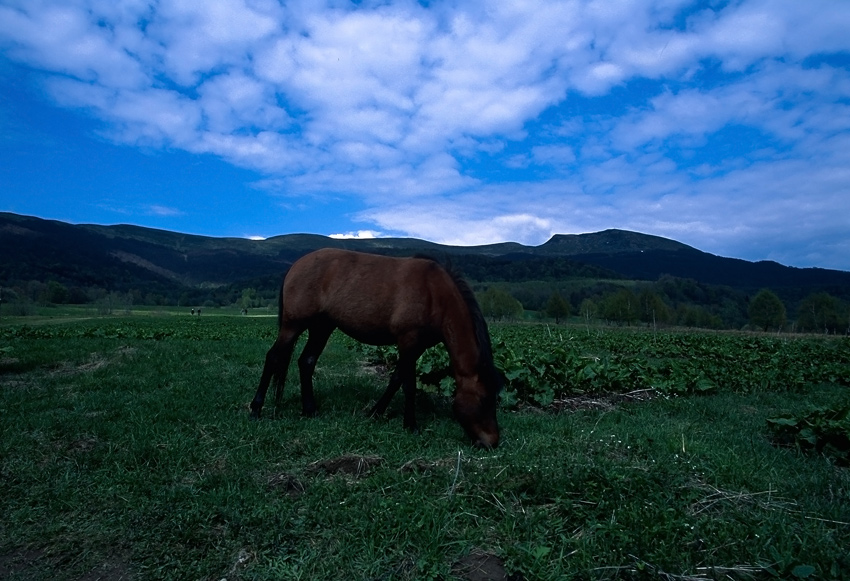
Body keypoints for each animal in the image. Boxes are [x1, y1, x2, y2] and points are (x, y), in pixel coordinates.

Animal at [248, 247, 500, 446]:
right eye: (484, 399)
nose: (492, 442)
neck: (435, 293)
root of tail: (296, 265)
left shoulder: (415, 348)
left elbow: (396, 379)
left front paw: (376, 413)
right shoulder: (408, 341)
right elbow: (409, 384)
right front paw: (411, 425)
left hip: (322, 327)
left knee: (306, 361)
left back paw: (310, 410)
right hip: (293, 325)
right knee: (273, 357)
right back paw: (256, 409)